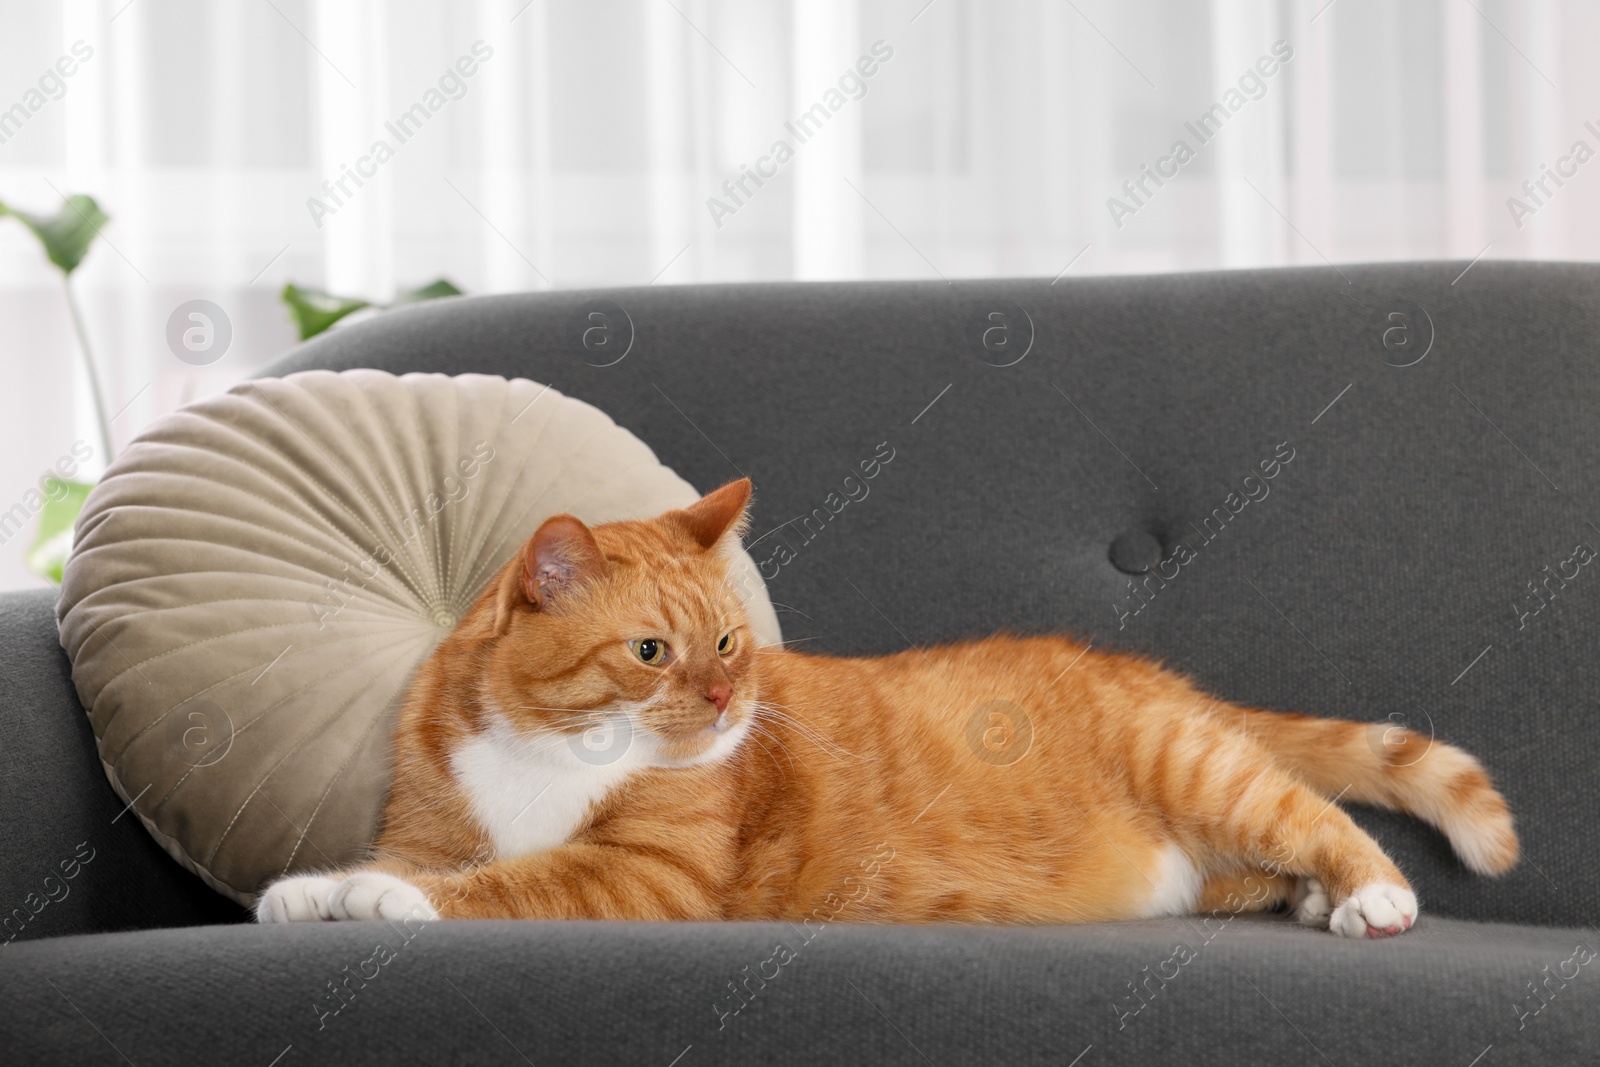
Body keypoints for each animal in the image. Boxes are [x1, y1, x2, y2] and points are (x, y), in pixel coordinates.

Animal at [256, 479, 1516, 940]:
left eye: (729, 642)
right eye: (653, 651)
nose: (726, 698)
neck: (550, 750)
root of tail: (1154, 675)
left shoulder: (647, 877)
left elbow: (505, 881)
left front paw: (384, 899)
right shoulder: (435, 819)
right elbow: (409, 857)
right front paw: (317, 888)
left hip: (1199, 769)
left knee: (1317, 814)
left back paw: (1368, 896)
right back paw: (1301, 898)